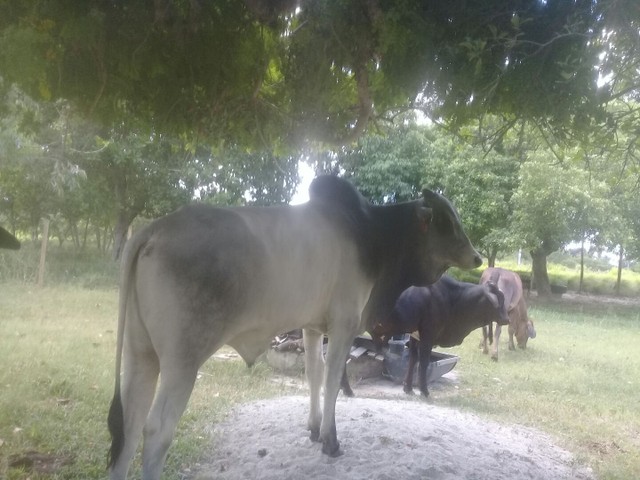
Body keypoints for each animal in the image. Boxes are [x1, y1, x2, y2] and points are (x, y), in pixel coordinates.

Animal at [109, 176, 480, 480]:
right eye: (446, 221)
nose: (477, 258)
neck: (373, 235)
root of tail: (153, 229)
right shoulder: (344, 324)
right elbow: (332, 381)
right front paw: (330, 440)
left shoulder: (313, 328)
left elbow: (314, 374)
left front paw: (314, 429)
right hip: (182, 360)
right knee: (156, 430)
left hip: (140, 353)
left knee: (128, 425)